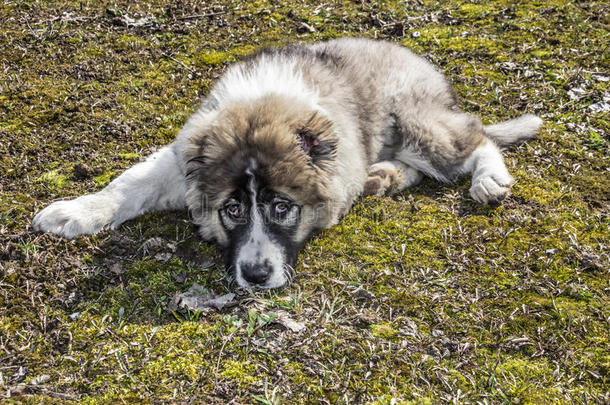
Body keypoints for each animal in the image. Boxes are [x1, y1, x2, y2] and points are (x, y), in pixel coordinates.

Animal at [30, 37, 540, 288]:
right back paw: (384, 177)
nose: (256, 277)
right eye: (232, 209)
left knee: (473, 138)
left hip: (412, 120)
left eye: (282, 208)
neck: (264, 105)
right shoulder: (180, 161)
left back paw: (489, 179)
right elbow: (128, 184)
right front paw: (76, 212)